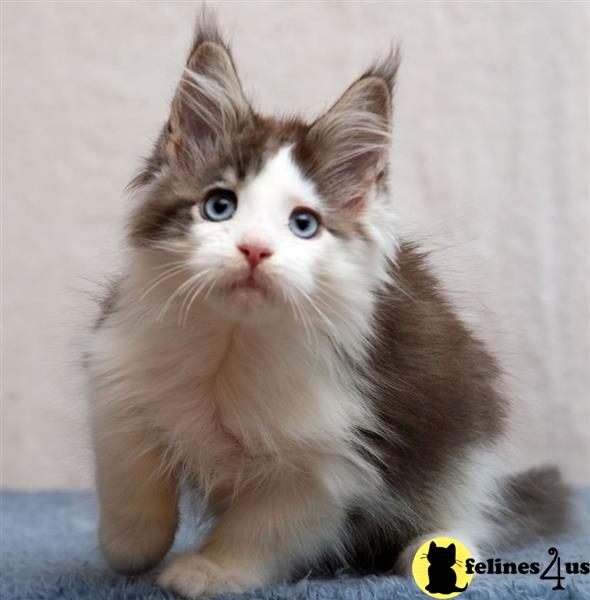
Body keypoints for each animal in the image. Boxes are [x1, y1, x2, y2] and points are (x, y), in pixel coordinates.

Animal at [88, 10, 572, 600]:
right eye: (219, 206)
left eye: (304, 224)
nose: (254, 249)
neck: (234, 343)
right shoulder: (118, 372)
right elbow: (129, 471)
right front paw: (130, 546)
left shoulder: (332, 458)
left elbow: (264, 527)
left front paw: (210, 570)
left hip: (464, 436)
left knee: (467, 508)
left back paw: (433, 549)